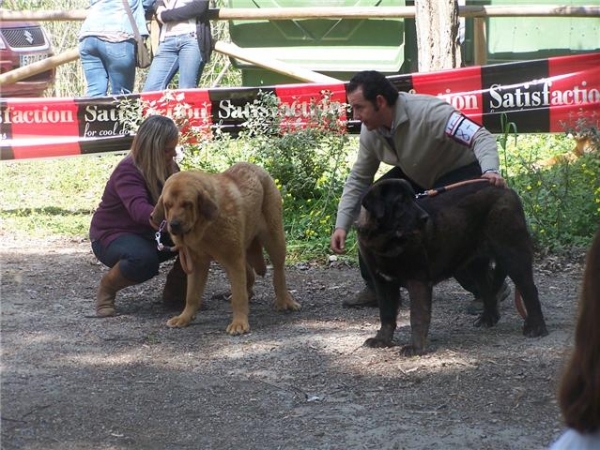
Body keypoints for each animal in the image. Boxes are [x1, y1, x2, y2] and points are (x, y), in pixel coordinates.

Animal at [150, 162, 300, 334]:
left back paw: (285, 301)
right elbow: (192, 295)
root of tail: (258, 168)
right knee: (249, 274)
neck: (205, 227)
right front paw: (184, 318)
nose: (174, 225)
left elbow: (239, 296)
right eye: (167, 205)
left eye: (187, 204)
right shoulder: (197, 263)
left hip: (274, 239)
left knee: (278, 272)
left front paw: (239, 323)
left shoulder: (233, 259)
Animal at [356, 178, 548, 356]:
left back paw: (536, 327)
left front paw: (416, 348)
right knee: (488, 289)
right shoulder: (382, 282)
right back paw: (487, 319)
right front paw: (382, 340)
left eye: (412, 199)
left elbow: (417, 317)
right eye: (400, 201)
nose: (425, 218)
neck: (385, 242)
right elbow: (386, 314)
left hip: (512, 255)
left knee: (529, 290)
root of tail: (507, 189)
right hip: (475, 265)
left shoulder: (418, 280)